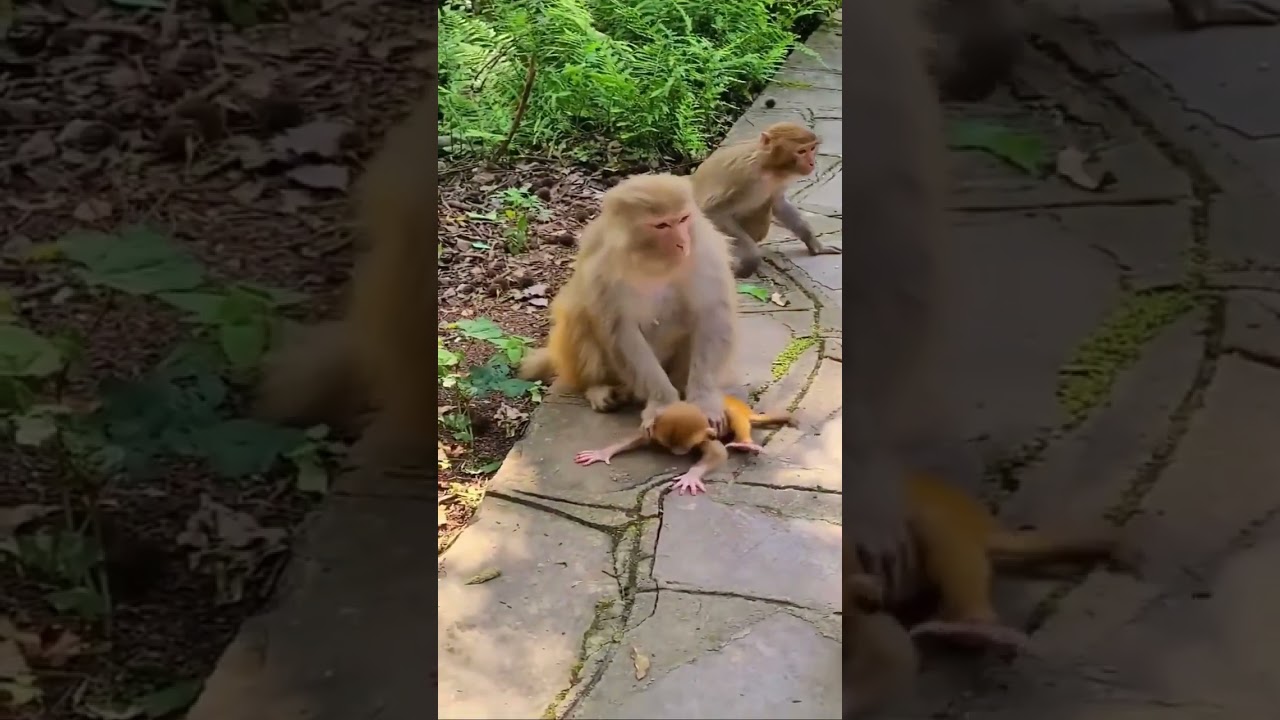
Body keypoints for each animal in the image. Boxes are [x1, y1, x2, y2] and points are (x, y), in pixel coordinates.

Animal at [517, 174, 738, 434]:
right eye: (662, 225)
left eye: (683, 219)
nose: (683, 243)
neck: (653, 261)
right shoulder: (603, 268)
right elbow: (620, 330)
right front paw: (663, 404)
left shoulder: (706, 254)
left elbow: (711, 315)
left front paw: (704, 401)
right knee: (578, 314)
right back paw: (598, 387)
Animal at [573, 395, 791, 495]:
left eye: (683, 449)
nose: (675, 453)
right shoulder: (654, 427)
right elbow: (639, 436)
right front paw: (603, 452)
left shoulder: (704, 437)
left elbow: (719, 453)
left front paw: (691, 476)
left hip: (739, 409)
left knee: (734, 415)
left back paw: (746, 443)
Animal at [690, 121, 839, 279]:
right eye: (801, 151)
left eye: (812, 148)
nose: (812, 163)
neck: (768, 166)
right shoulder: (744, 178)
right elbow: (712, 212)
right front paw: (751, 258)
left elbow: (779, 204)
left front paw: (816, 245)